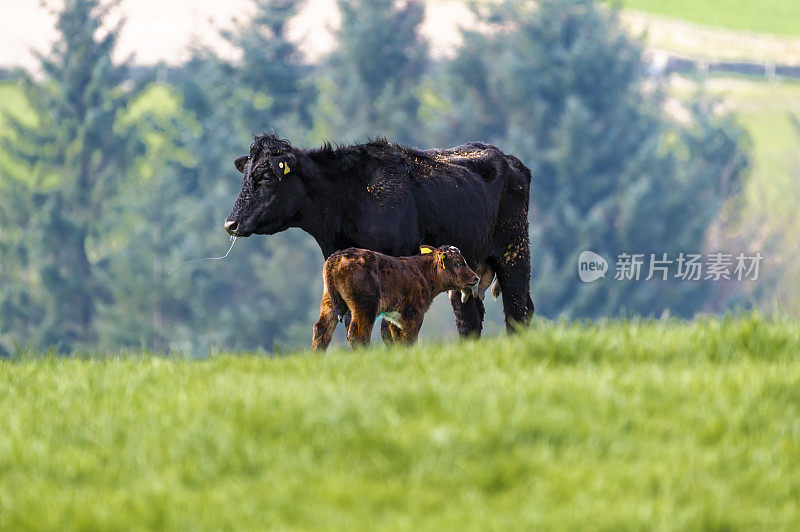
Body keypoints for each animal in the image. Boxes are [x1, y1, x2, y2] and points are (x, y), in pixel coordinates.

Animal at [225, 136, 536, 336]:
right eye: (245, 175)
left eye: (265, 177)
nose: (231, 223)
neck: (349, 198)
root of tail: (509, 159)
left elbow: (389, 329)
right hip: (465, 271)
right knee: (469, 320)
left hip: (515, 251)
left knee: (519, 310)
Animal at [312, 244, 478, 350]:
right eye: (458, 263)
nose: (475, 278)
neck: (421, 272)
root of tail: (337, 256)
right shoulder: (414, 313)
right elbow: (409, 339)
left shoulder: (395, 317)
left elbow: (398, 340)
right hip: (365, 305)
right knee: (358, 333)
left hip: (329, 302)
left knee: (321, 329)